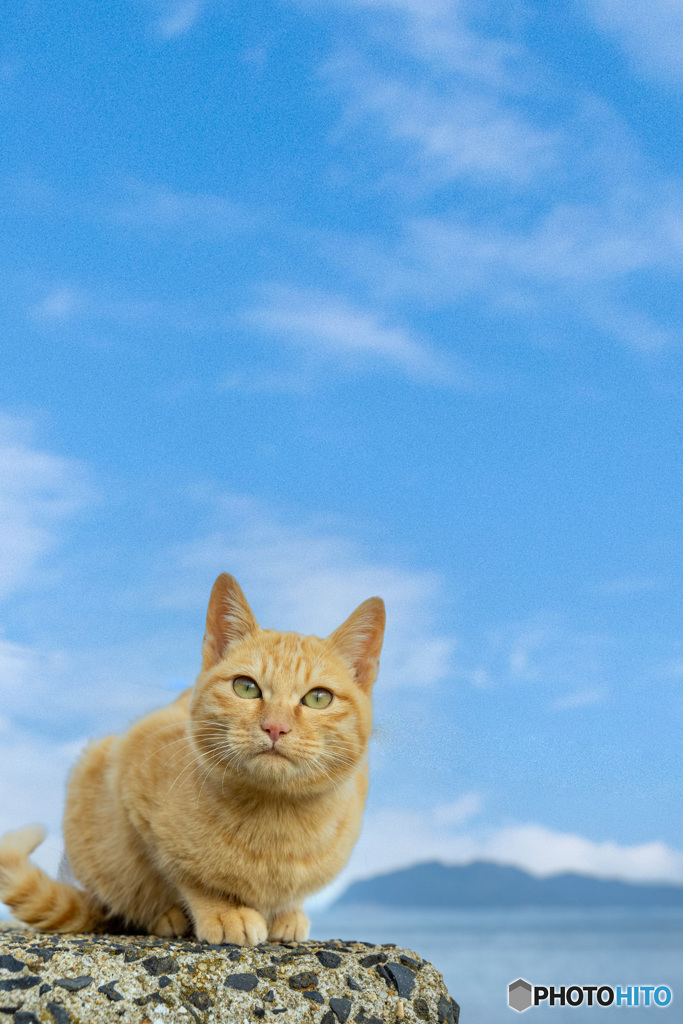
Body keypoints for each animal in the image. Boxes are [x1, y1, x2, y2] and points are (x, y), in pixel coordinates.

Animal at [0, 577, 385, 942]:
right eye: (246, 687)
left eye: (318, 698)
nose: (275, 727)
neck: (276, 816)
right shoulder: (135, 785)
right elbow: (184, 873)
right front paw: (223, 911)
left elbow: (291, 894)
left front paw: (288, 913)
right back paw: (165, 918)